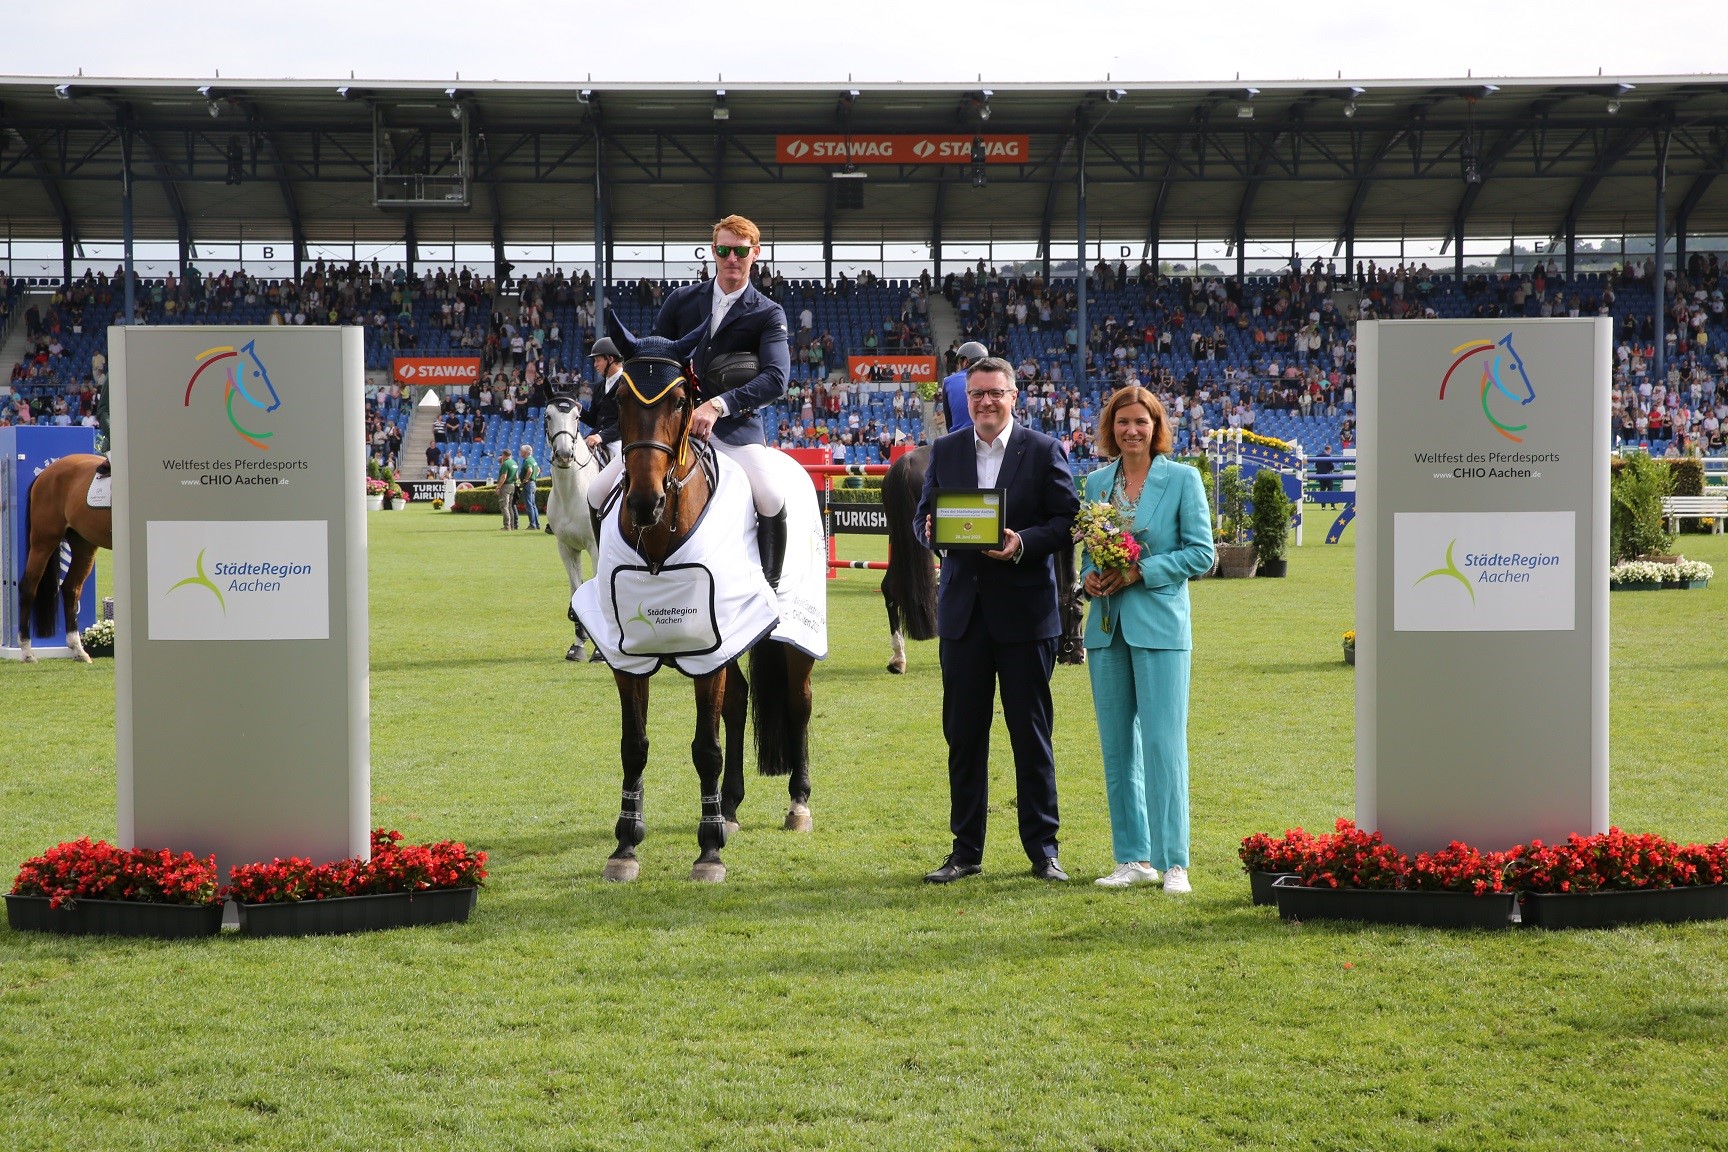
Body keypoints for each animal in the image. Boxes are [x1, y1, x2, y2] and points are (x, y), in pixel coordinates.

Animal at [17, 452, 111, 663]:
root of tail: (45, 473)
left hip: (84, 545)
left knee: (71, 588)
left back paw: (78, 649)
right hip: (43, 541)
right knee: (29, 587)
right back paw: (27, 651)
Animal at [594, 324, 815, 884]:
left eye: (680, 401)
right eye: (621, 398)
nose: (644, 502)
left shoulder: (706, 652)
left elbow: (705, 748)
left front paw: (709, 851)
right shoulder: (628, 655)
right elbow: (634, 745)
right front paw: (625, 845)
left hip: (794, 636)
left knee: (799, 703)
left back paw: (798, 804)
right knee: (737, 703)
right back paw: (731, 808)